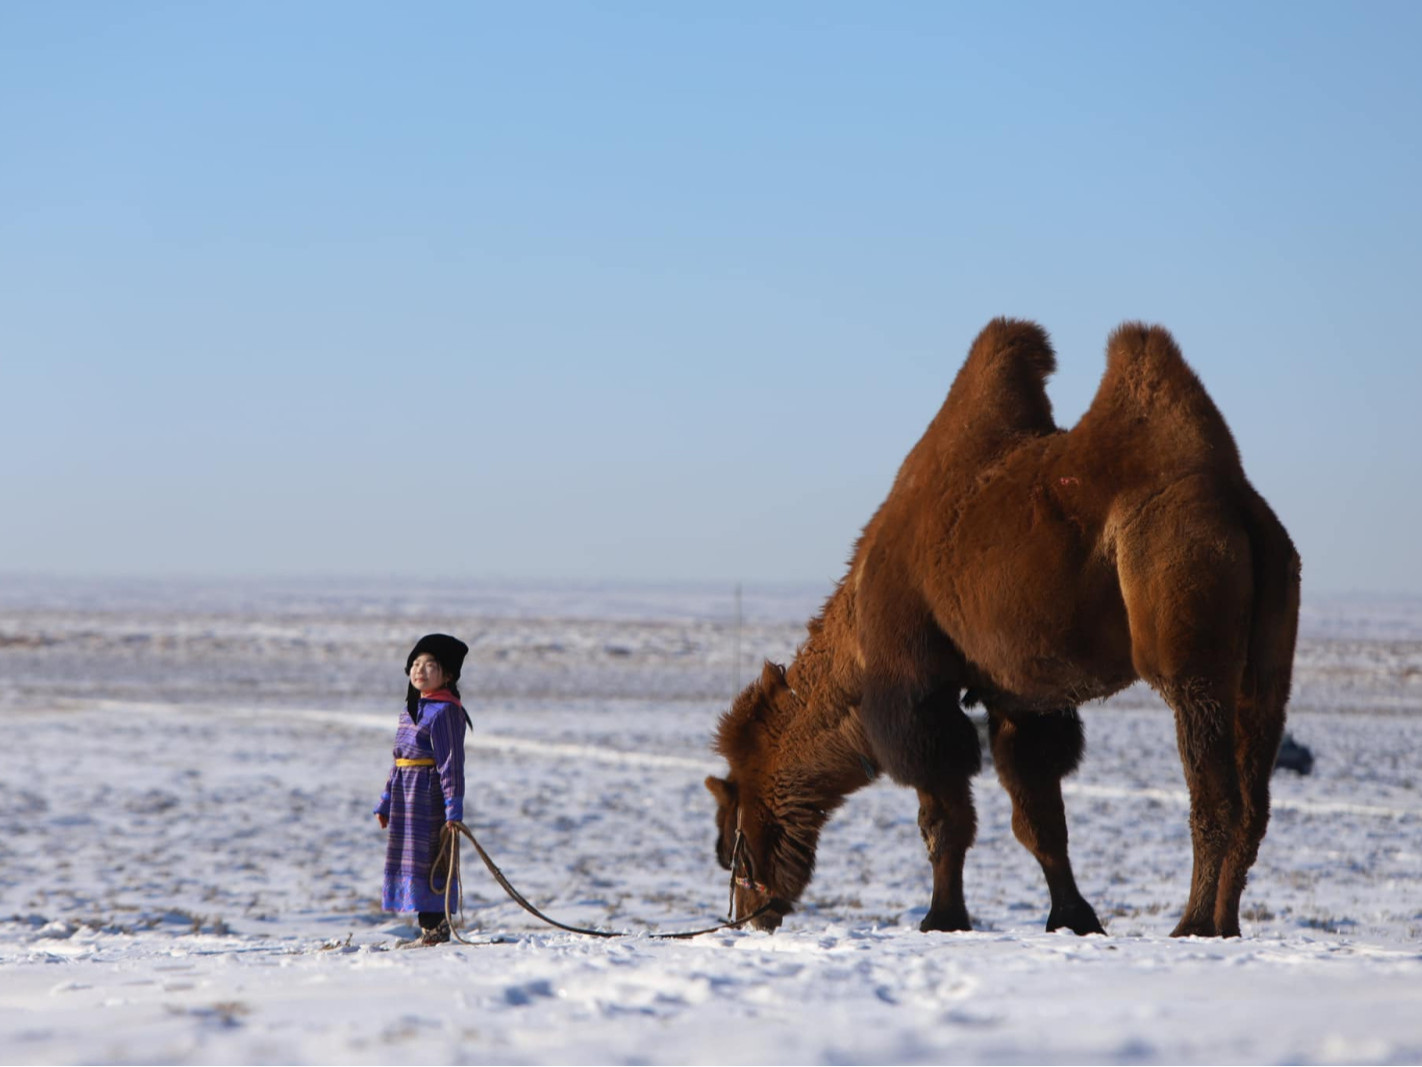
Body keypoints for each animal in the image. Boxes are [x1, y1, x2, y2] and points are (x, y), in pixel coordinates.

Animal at [708, 321, 1302, 938]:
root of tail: (1237, 503)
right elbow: (1039, 821)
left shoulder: (917, 690)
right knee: (1255, 794)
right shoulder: (1021, 698)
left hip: (1183, 607)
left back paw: (1193, 924)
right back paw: (1226, 924)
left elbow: (944, 819)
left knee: (1214, 790)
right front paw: (1073, 917)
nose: (748, 916)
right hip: (1269, 654)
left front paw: (941, 918)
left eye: (729, 845)